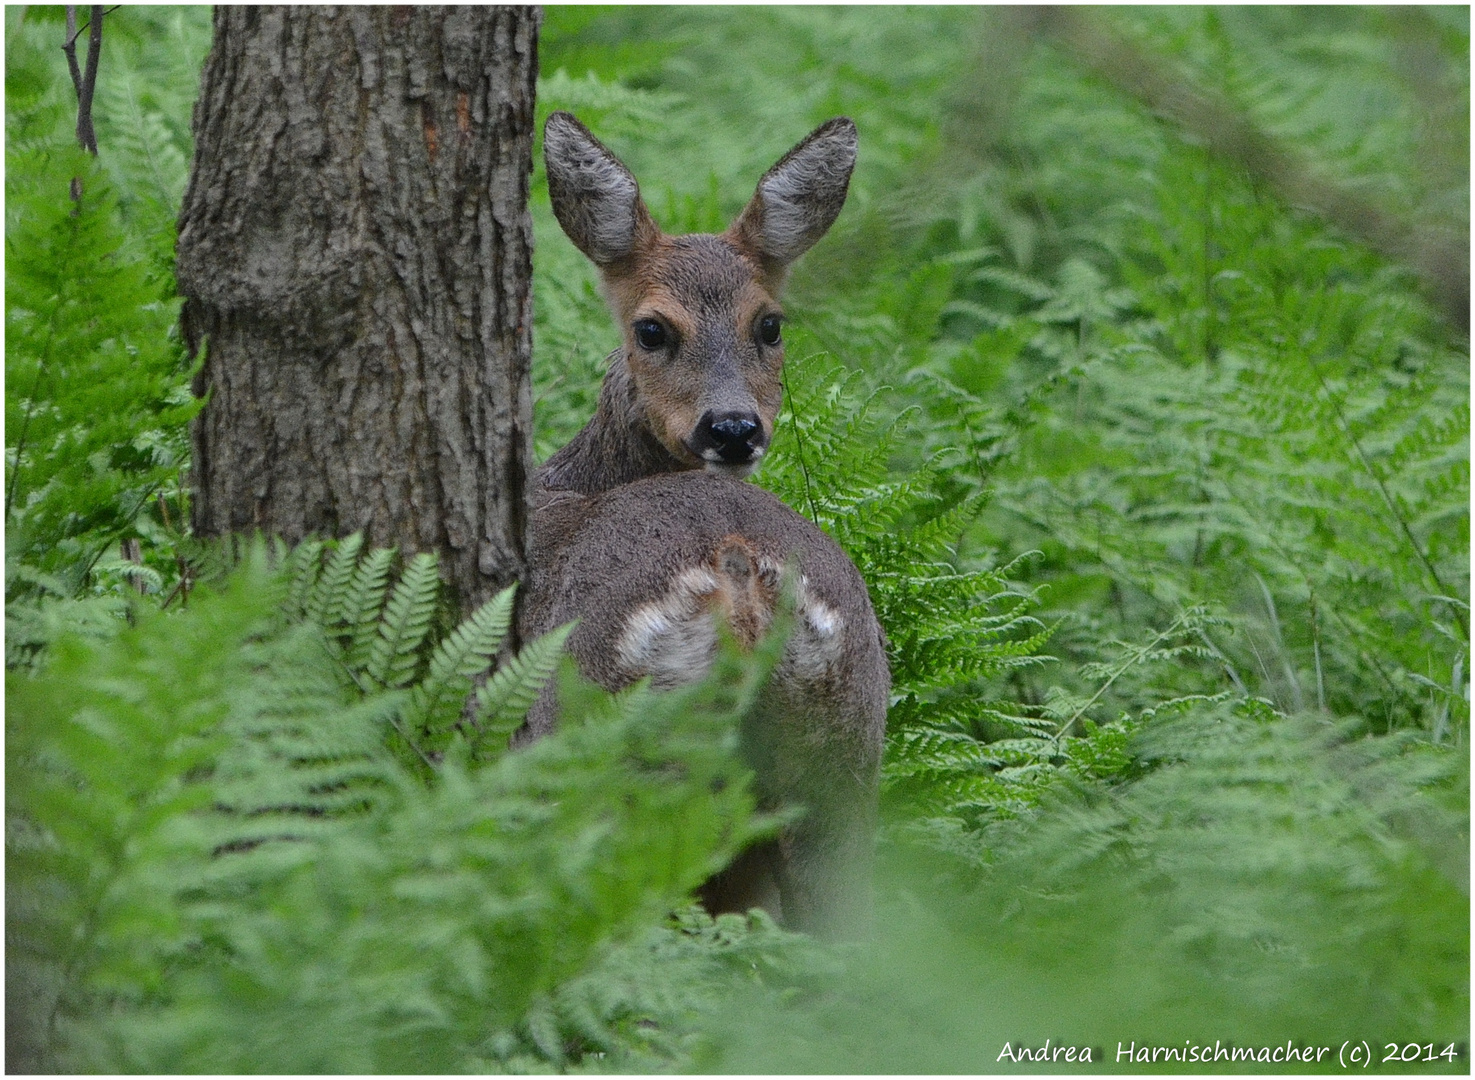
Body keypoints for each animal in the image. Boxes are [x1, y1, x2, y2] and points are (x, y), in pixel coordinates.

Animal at [519, 112, 885, 938]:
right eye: (651, 329)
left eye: (769, 324)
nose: (732, 428)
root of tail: (737, 575)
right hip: (842, 759)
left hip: (597, 747)